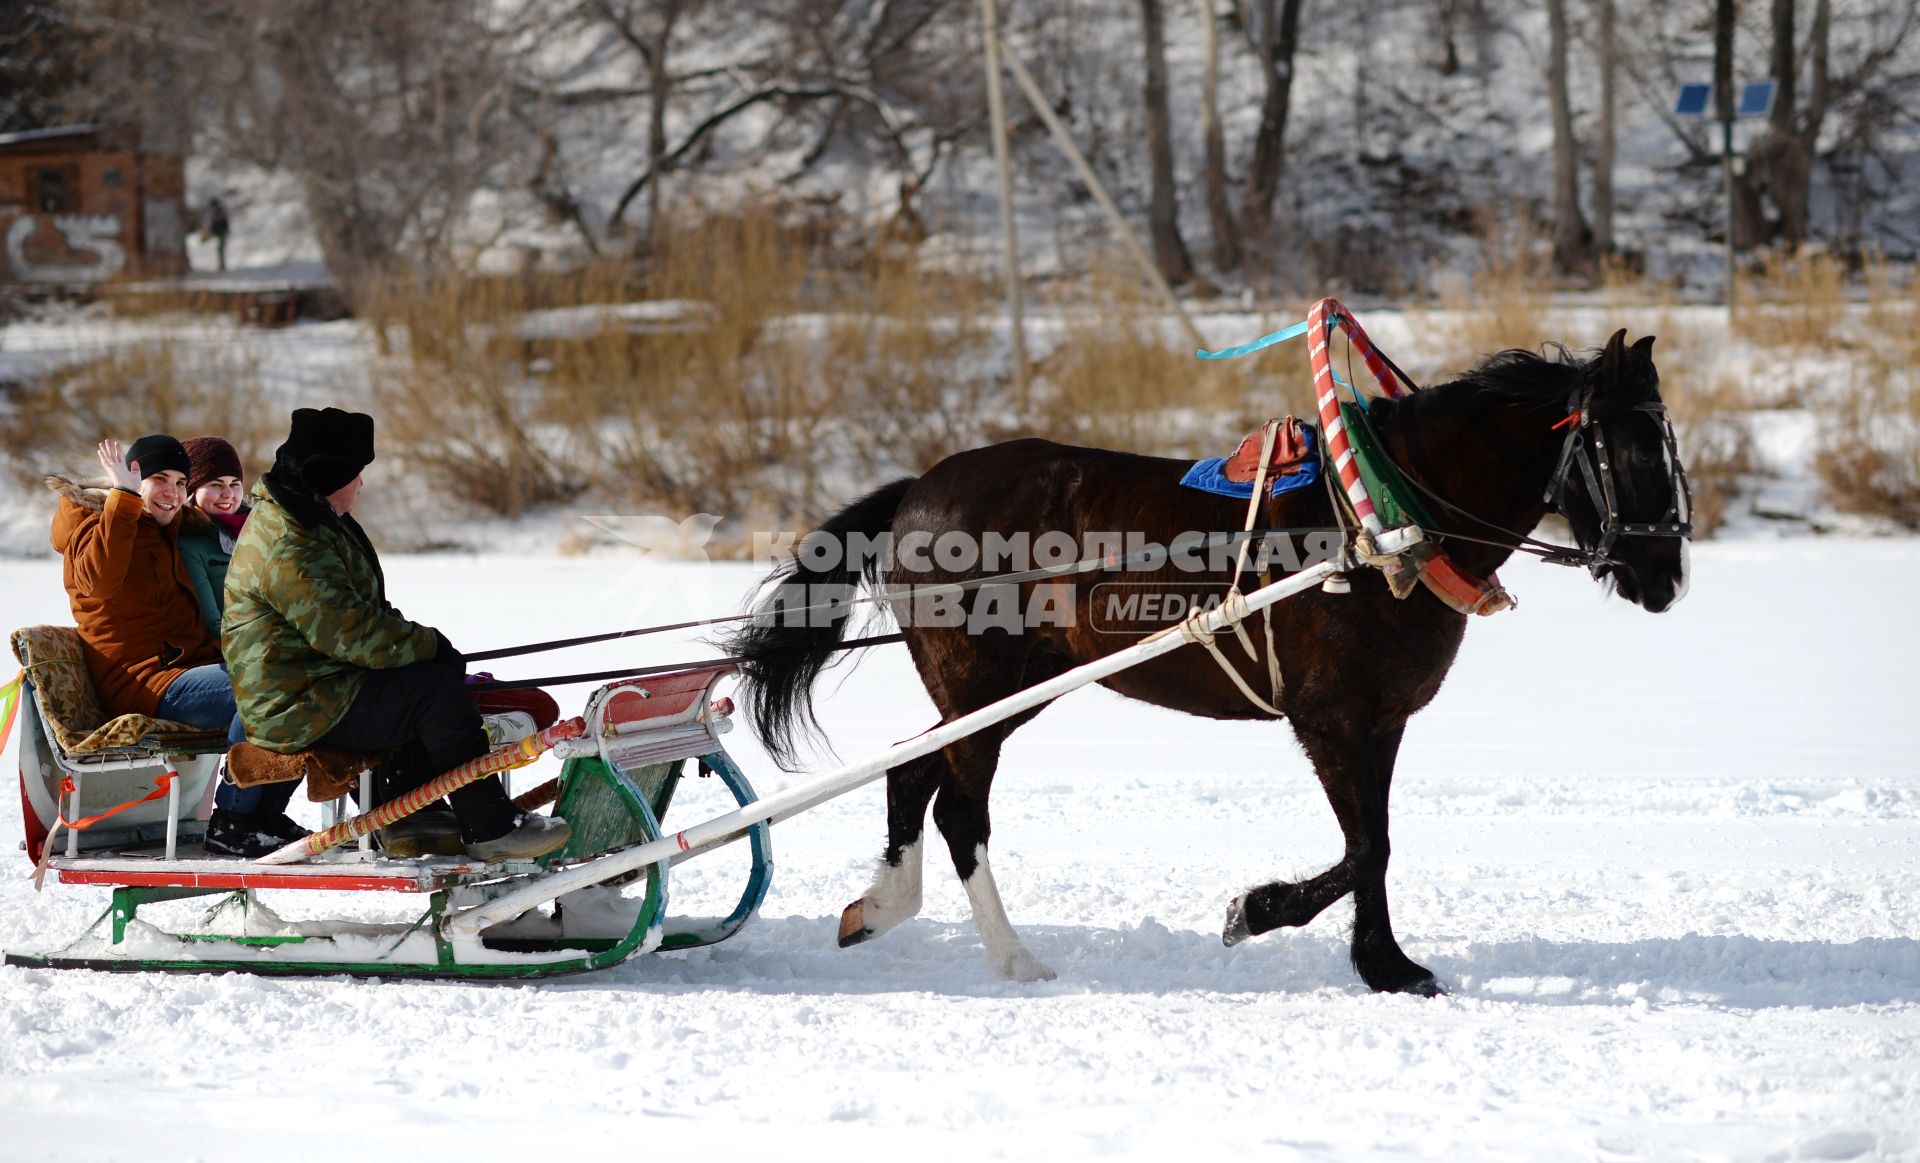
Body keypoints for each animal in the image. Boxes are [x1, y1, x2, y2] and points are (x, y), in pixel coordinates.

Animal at [725, 332, 1689, 997]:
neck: (1380, 523)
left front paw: (1385, 962)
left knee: (912, 770)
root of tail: (918, 490)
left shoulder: (1381, 720)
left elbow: (1375, 846)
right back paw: (1015, 957)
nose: (1668, 574)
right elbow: (1365, 845)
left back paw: (879, 907)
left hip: (1004, 689)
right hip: (982, 685)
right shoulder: (1329, 717)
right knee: (961, 808)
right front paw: (1261, 913)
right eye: (1634, 449)